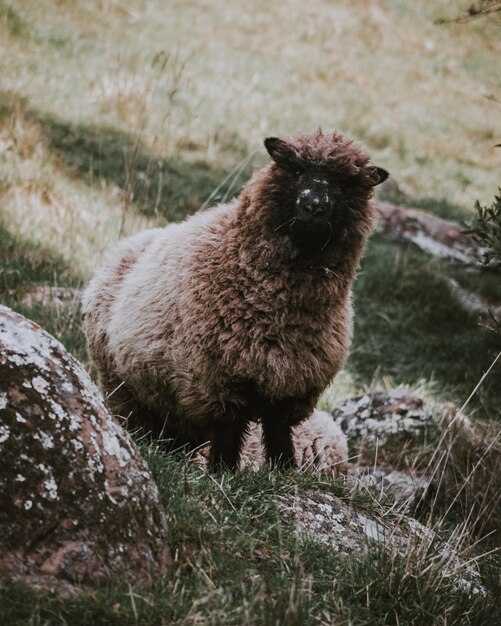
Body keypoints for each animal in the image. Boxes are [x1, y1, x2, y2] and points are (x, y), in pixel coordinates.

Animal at [83, 130, 386, 468]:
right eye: (295, 170)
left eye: (345, 184)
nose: (313, 207)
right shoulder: (219, 382)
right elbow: (228, 432)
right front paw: (223, 470)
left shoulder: (292, 388)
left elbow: (278, 433)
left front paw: (284, 469)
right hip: (120, 383)